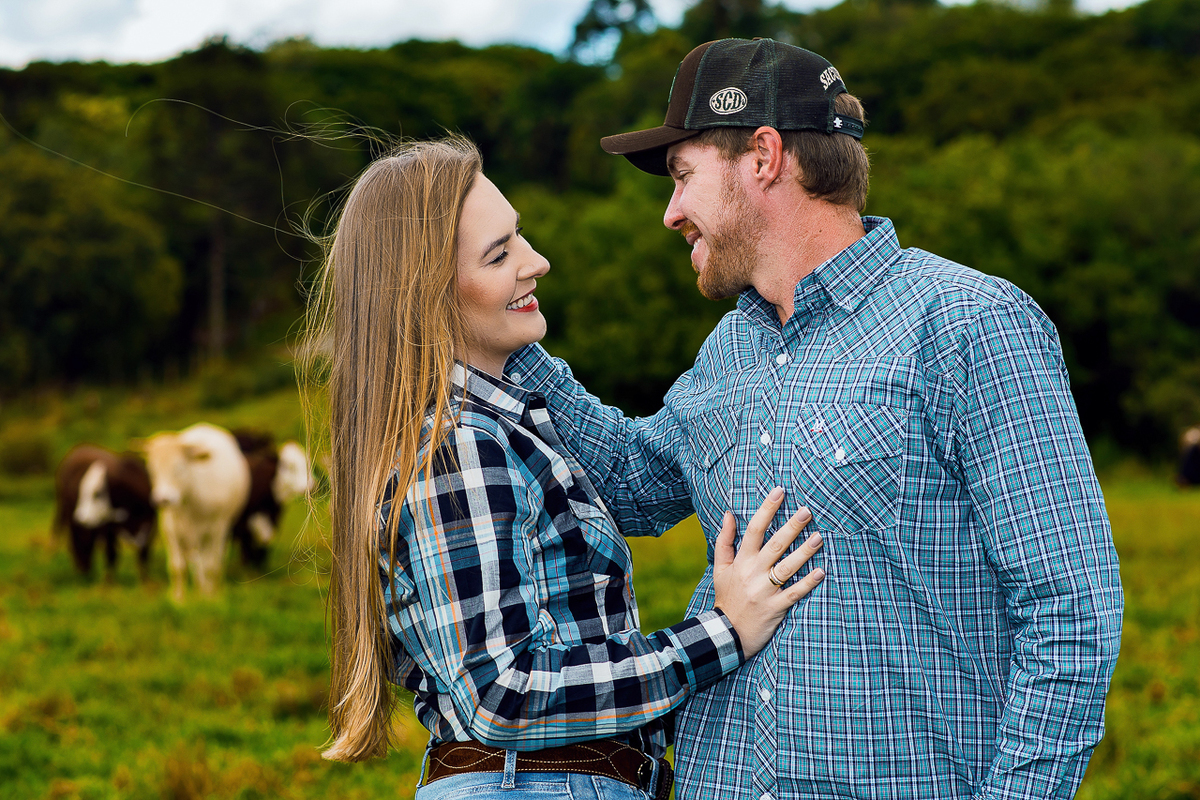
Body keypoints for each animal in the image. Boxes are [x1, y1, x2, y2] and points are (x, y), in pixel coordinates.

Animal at [53, 444, 156, 580]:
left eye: (96, 493)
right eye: (82, 491)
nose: (80, 515)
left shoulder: (150, 523)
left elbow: (144, 552)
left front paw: (146, 580)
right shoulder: (108, 527)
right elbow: (111, 554)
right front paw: (108, 581)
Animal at [142, 423, 250, 601]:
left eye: (179, 468)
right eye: (152, 470)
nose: (163, 499)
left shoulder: (216, 530)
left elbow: (210, 566)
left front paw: (209, 597)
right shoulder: (171, 530)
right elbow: (178, 567)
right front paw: (179, 599)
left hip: (220, 530)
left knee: (214, 561)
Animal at [230, 430, 314, 569]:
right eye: (289, 467)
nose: (311, 486)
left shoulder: (274, 519)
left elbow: (266, 543)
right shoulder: (243, 522)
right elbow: (247, 544)